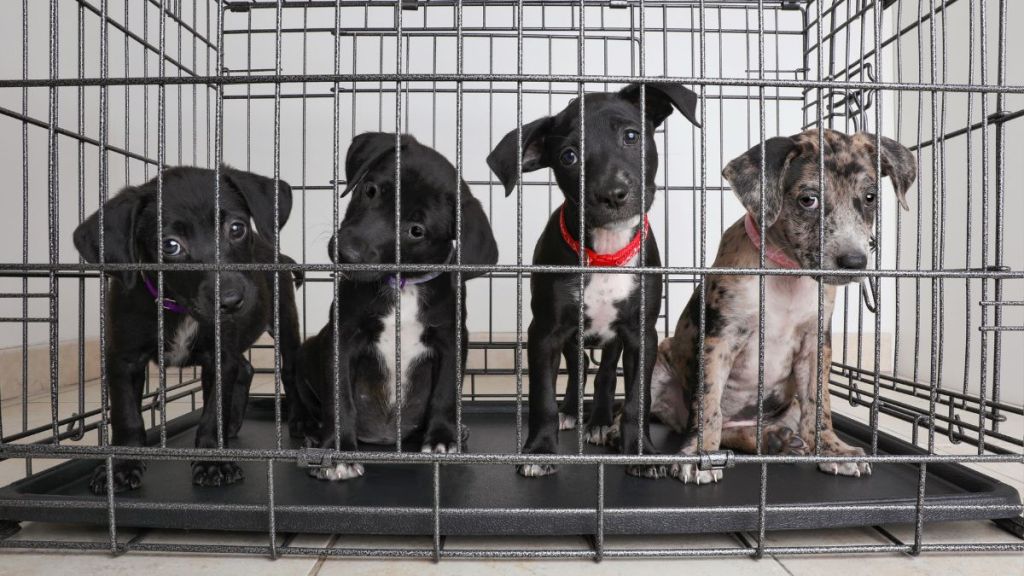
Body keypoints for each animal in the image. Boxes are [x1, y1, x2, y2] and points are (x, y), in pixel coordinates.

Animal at [73, 163, 307, 491]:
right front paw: (121, 466)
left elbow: (212, 413)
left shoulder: (220, 356)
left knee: (289, 370)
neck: (180, 309)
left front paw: (213, 462)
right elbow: (126, 416)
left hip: (284, 320)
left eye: (237, 228)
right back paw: (233, 424)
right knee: (246, 368)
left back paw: (298, 421)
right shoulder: (123, 360)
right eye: (170, 245)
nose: (232, 300)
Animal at [296, 132, 499, 477]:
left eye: (416, 231)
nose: (348, 254)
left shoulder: (451, 339)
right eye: (370, 190)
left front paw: (442, 438)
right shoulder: (342, 337)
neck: (400, 284)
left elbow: (446, 392)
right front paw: (338, 452)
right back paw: (311, 431)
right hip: (308, 350)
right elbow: (340, 397)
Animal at [651, 129, 917, 479]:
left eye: (870, 197)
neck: (786, 271)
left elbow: (819, 406)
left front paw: (833, 449)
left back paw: (775, 439)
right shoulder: (720, 339)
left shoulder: (815, 344)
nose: (855, 261)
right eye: (808, 200)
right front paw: (700, 455)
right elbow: (709, 405)